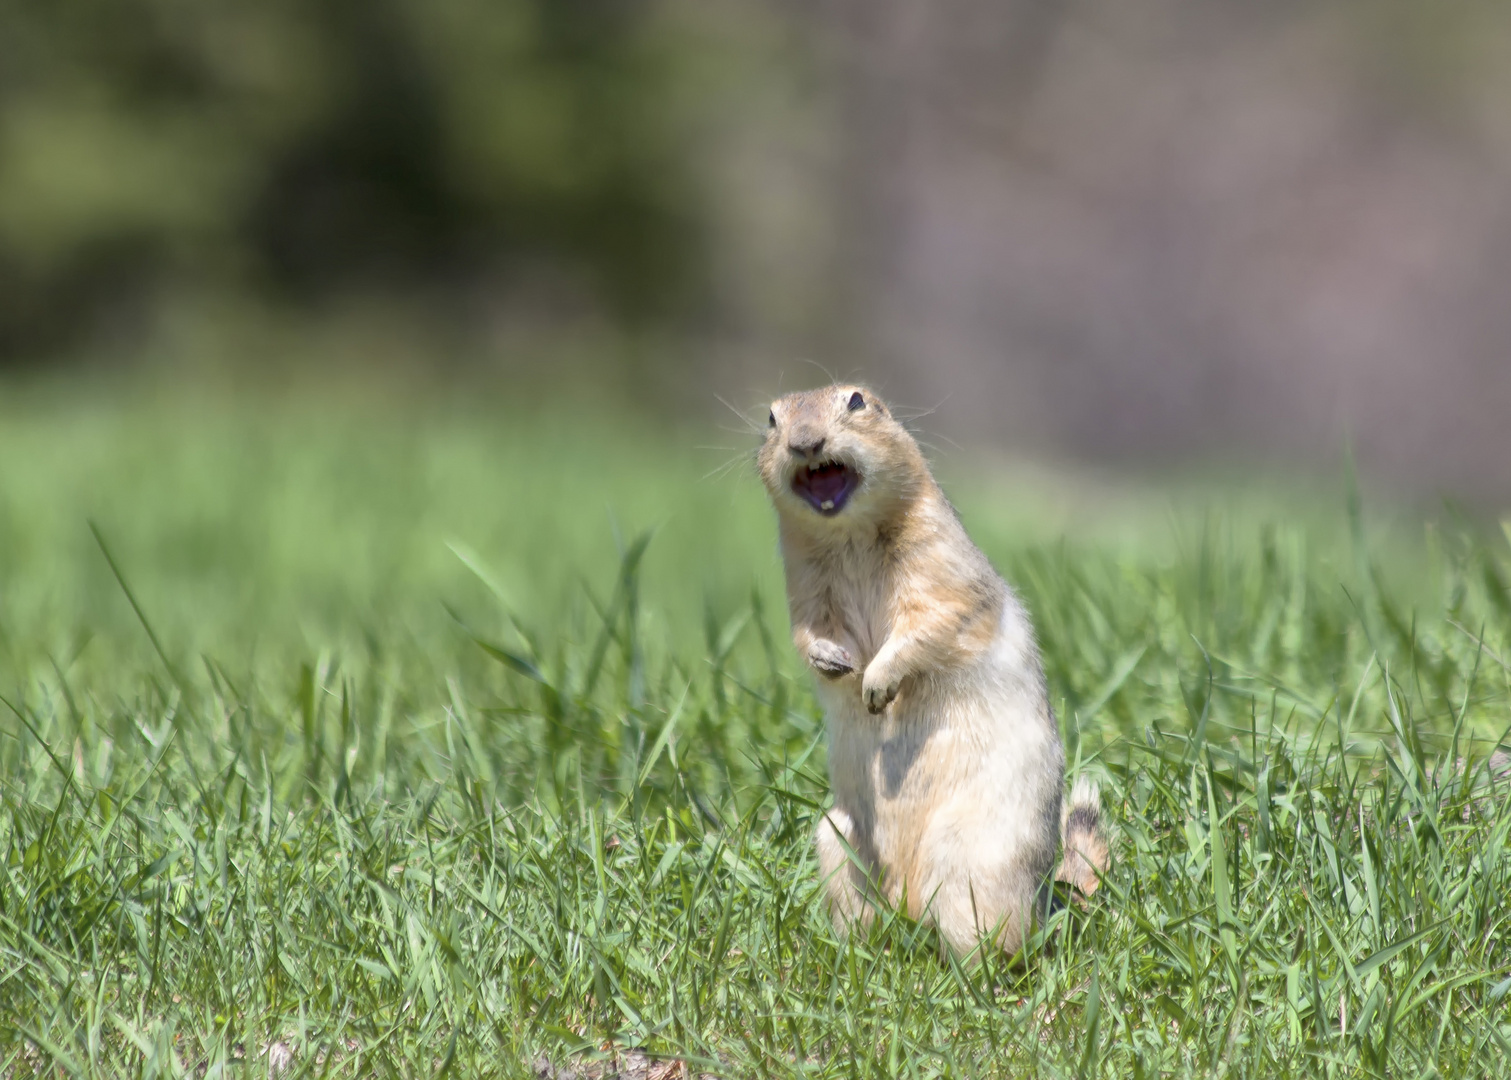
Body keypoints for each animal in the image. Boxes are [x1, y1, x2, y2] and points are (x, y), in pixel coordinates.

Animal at [761, 386, 1106, 954]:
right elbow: (808, 632)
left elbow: (932, 621)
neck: (848, 534)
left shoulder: (939, 563)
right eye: (771, 417)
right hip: (837, 838)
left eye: (857, 400)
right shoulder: (803, 583)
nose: (805, 442)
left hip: (976, 858)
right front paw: (834, 663)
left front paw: (876, 683)